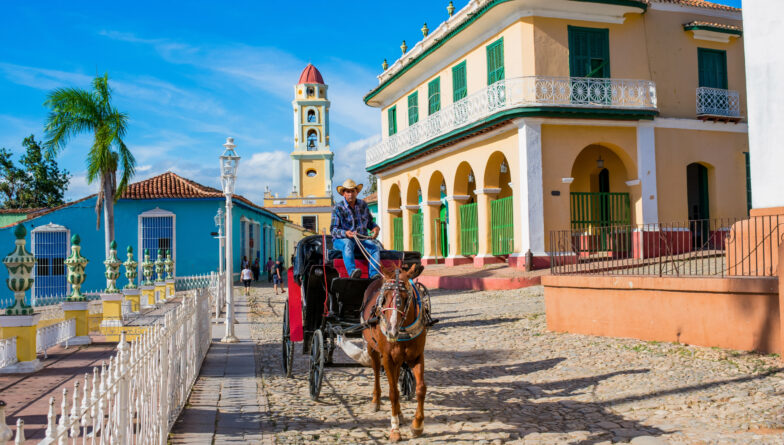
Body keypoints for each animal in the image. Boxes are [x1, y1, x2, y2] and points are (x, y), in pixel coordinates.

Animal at [362, 264, 428, 440]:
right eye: (384, 298)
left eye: (405, 298)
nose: (391, 331)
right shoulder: (388, 358)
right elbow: (392, 393)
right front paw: (395, 429)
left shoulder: (417, 356)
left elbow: (421, 389)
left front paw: (417, 425)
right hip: (373, 349)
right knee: (376, 371)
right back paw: (376, 401)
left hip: (398, 360)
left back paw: (400, 414)